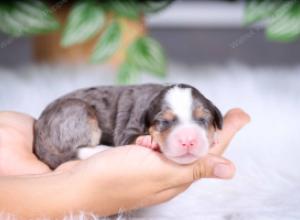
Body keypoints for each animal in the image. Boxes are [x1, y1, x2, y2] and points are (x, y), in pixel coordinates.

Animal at [34, 84, 223, 168]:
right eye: (164, 122)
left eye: (202, 119)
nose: (188, 141)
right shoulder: (127, 127)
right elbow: (129, 136)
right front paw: (147, 140)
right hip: (80, 113)